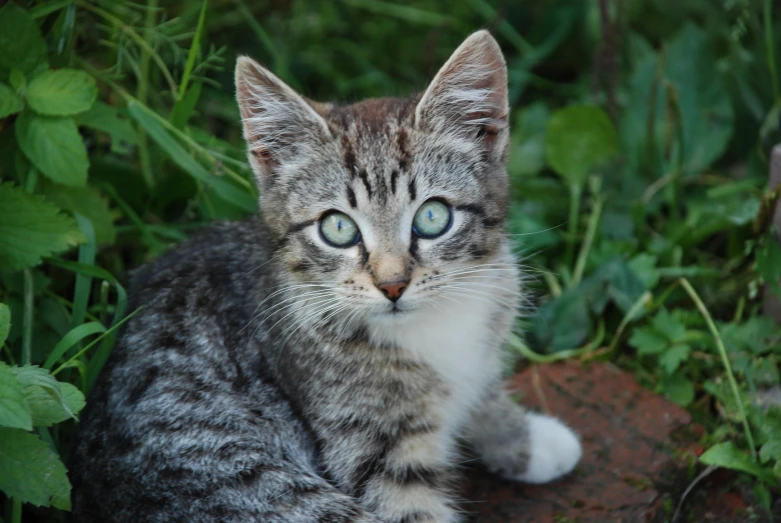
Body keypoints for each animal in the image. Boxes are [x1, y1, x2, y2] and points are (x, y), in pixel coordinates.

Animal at [70, 30, 580, 520]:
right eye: (338, 228)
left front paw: (522, 438)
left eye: (432, 217)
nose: (392, 284)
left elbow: (480, 385)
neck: (431, 325)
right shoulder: (369, 448)